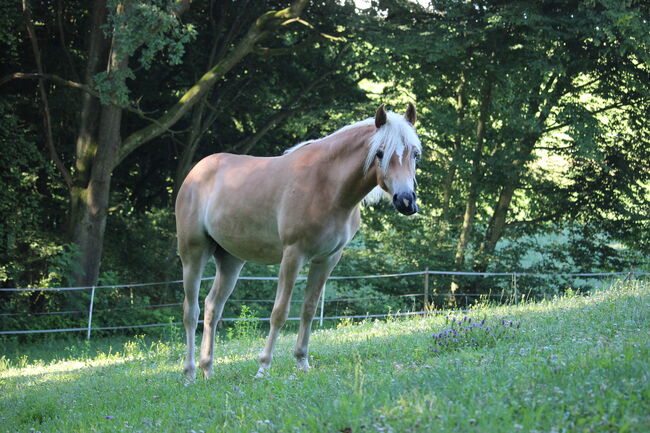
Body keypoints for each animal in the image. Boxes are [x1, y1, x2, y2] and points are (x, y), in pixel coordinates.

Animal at [175, 102, 422, 378]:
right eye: (380, 153)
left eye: (415, 154)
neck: (327, 185)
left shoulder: (327, 260)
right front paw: (263, 366)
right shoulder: (293, 255)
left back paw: (208, 369)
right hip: (193, 254)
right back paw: (190, 373)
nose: (406, 200)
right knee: (191, 311)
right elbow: (279, 312)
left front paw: (302, 361)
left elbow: (309, 309)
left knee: (212, 308)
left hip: (230, 260)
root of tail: (196, 172)